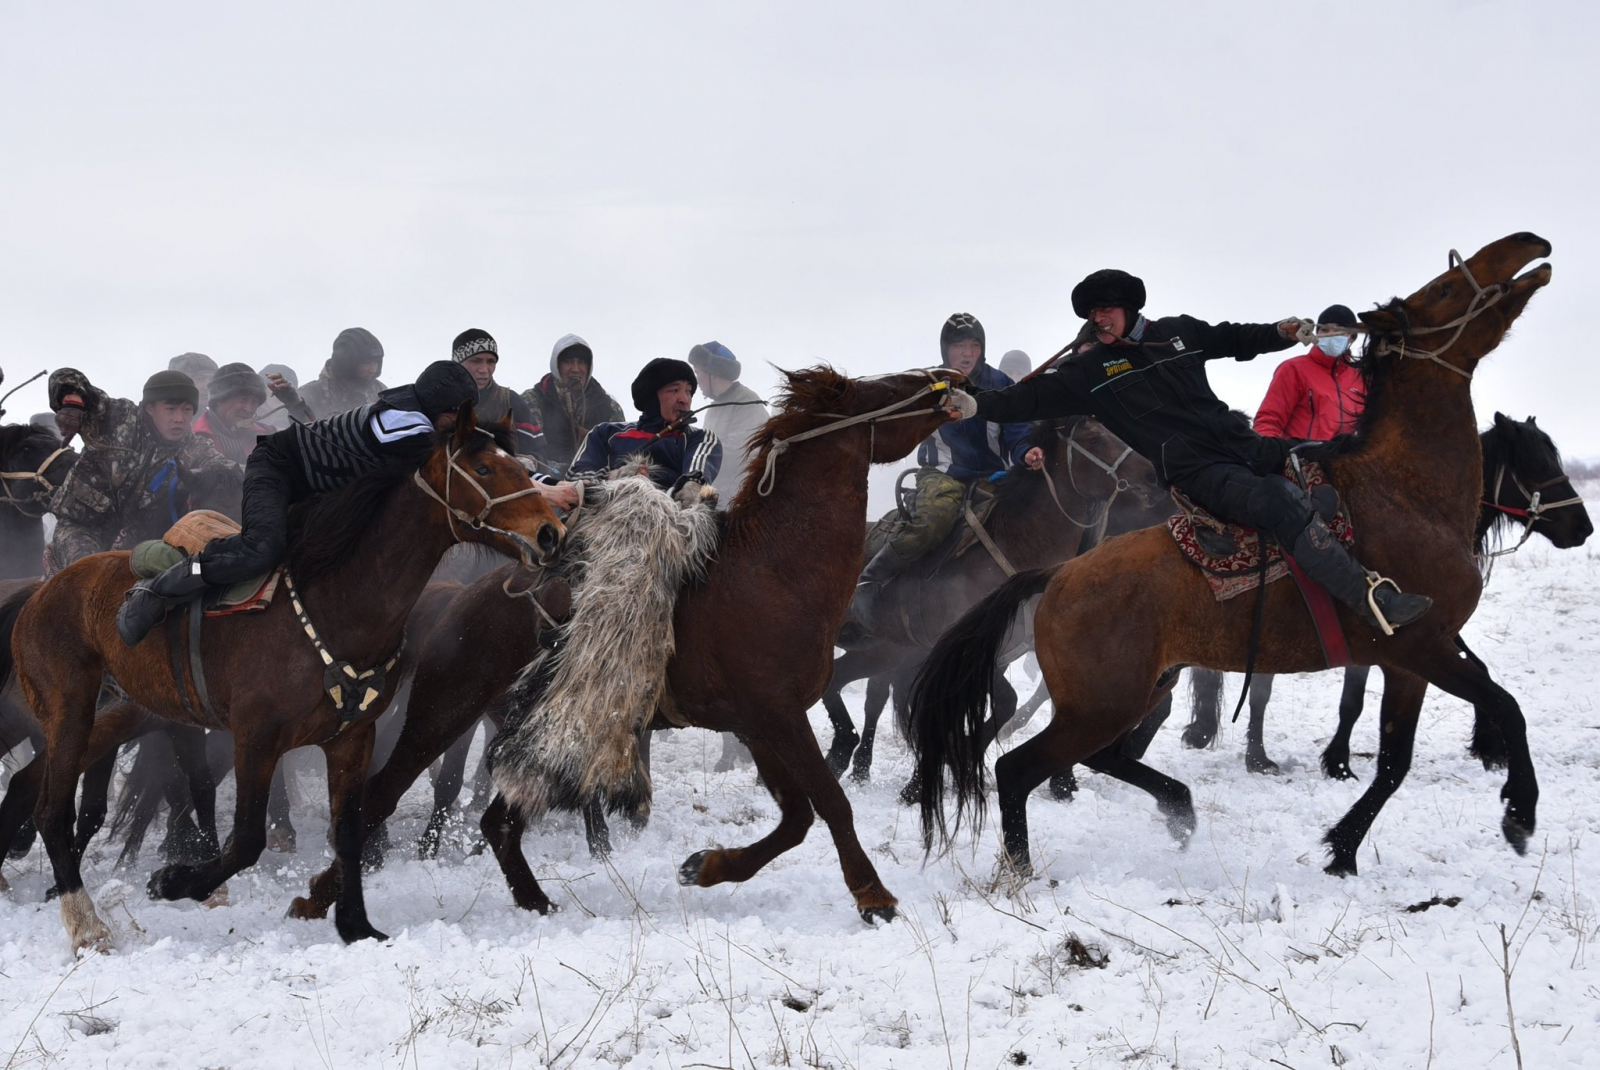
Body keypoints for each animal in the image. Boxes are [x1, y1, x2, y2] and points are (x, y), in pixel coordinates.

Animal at [6, 404, 566, 946]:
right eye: (484, 468)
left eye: (522, 466)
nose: (550, 533)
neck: (337, 604)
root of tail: (42, 591)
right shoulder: (256, 736)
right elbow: (248, 838)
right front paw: (175, 881)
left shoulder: (351, 739)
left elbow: (348, 830)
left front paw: (355, 925)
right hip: (68, 711)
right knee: (51, 809)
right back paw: (86, 923)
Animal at [915, 233, 1561, 876]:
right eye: (1446, 288)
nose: (1528, 245)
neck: (1404, 492)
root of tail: (1055, 577)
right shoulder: (1422, 647)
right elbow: (1506, 705)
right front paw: (1519, 814)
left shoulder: (1408, 664)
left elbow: (1396, 762)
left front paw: (1342, 850)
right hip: (1100, 704)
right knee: (1018, 768)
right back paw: (1022, 869)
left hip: (1143, 687)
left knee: (1098, 757)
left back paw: (1178, 809)